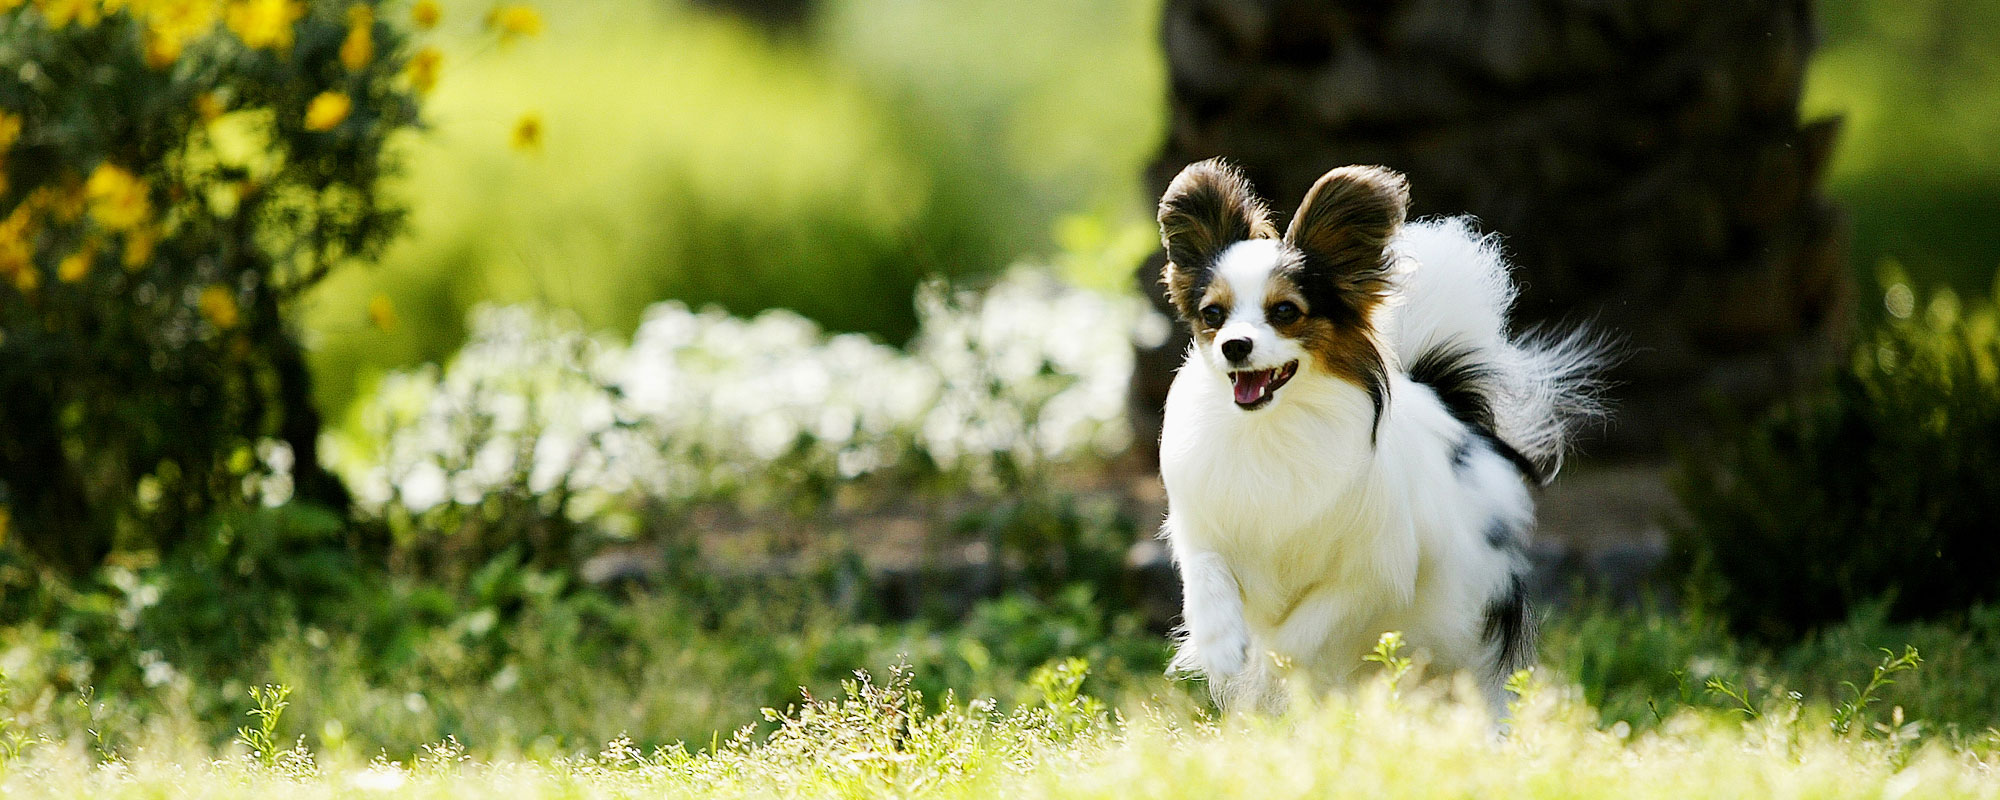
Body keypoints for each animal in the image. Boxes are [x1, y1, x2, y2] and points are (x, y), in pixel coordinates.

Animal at [1152, 156, 1600, 712]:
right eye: (1213, 315)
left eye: (1285, 312)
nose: (1235, 345)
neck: (1272, 428)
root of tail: (1450, 405)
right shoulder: (1204, 529)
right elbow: (1207, 578)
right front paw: (1220, 647)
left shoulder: (1369, 577)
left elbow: (1295, 637)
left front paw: (1267, 670)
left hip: (1465, 625)